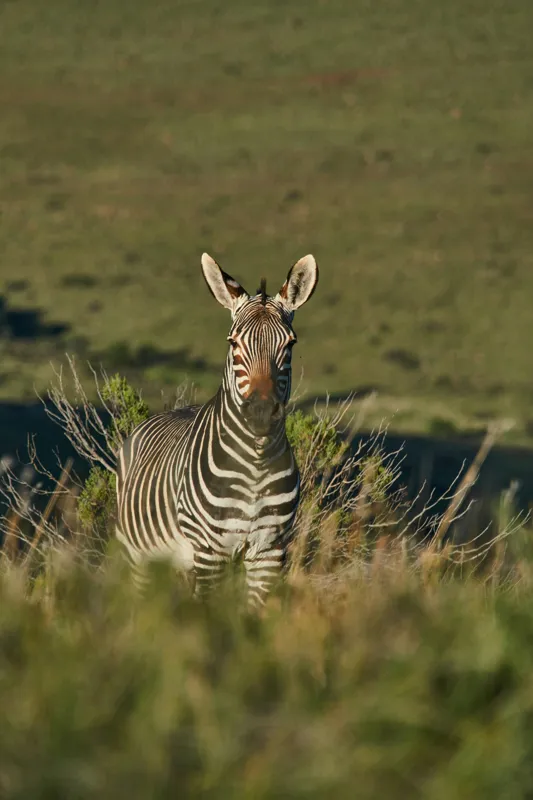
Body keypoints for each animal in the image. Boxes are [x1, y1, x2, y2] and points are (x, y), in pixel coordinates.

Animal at [115, 252, 319, 607]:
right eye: (233, 343)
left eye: (290, 344)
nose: (261, 413)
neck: (255, 463)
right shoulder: (211, 551)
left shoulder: (269, 551)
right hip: (139, 555)